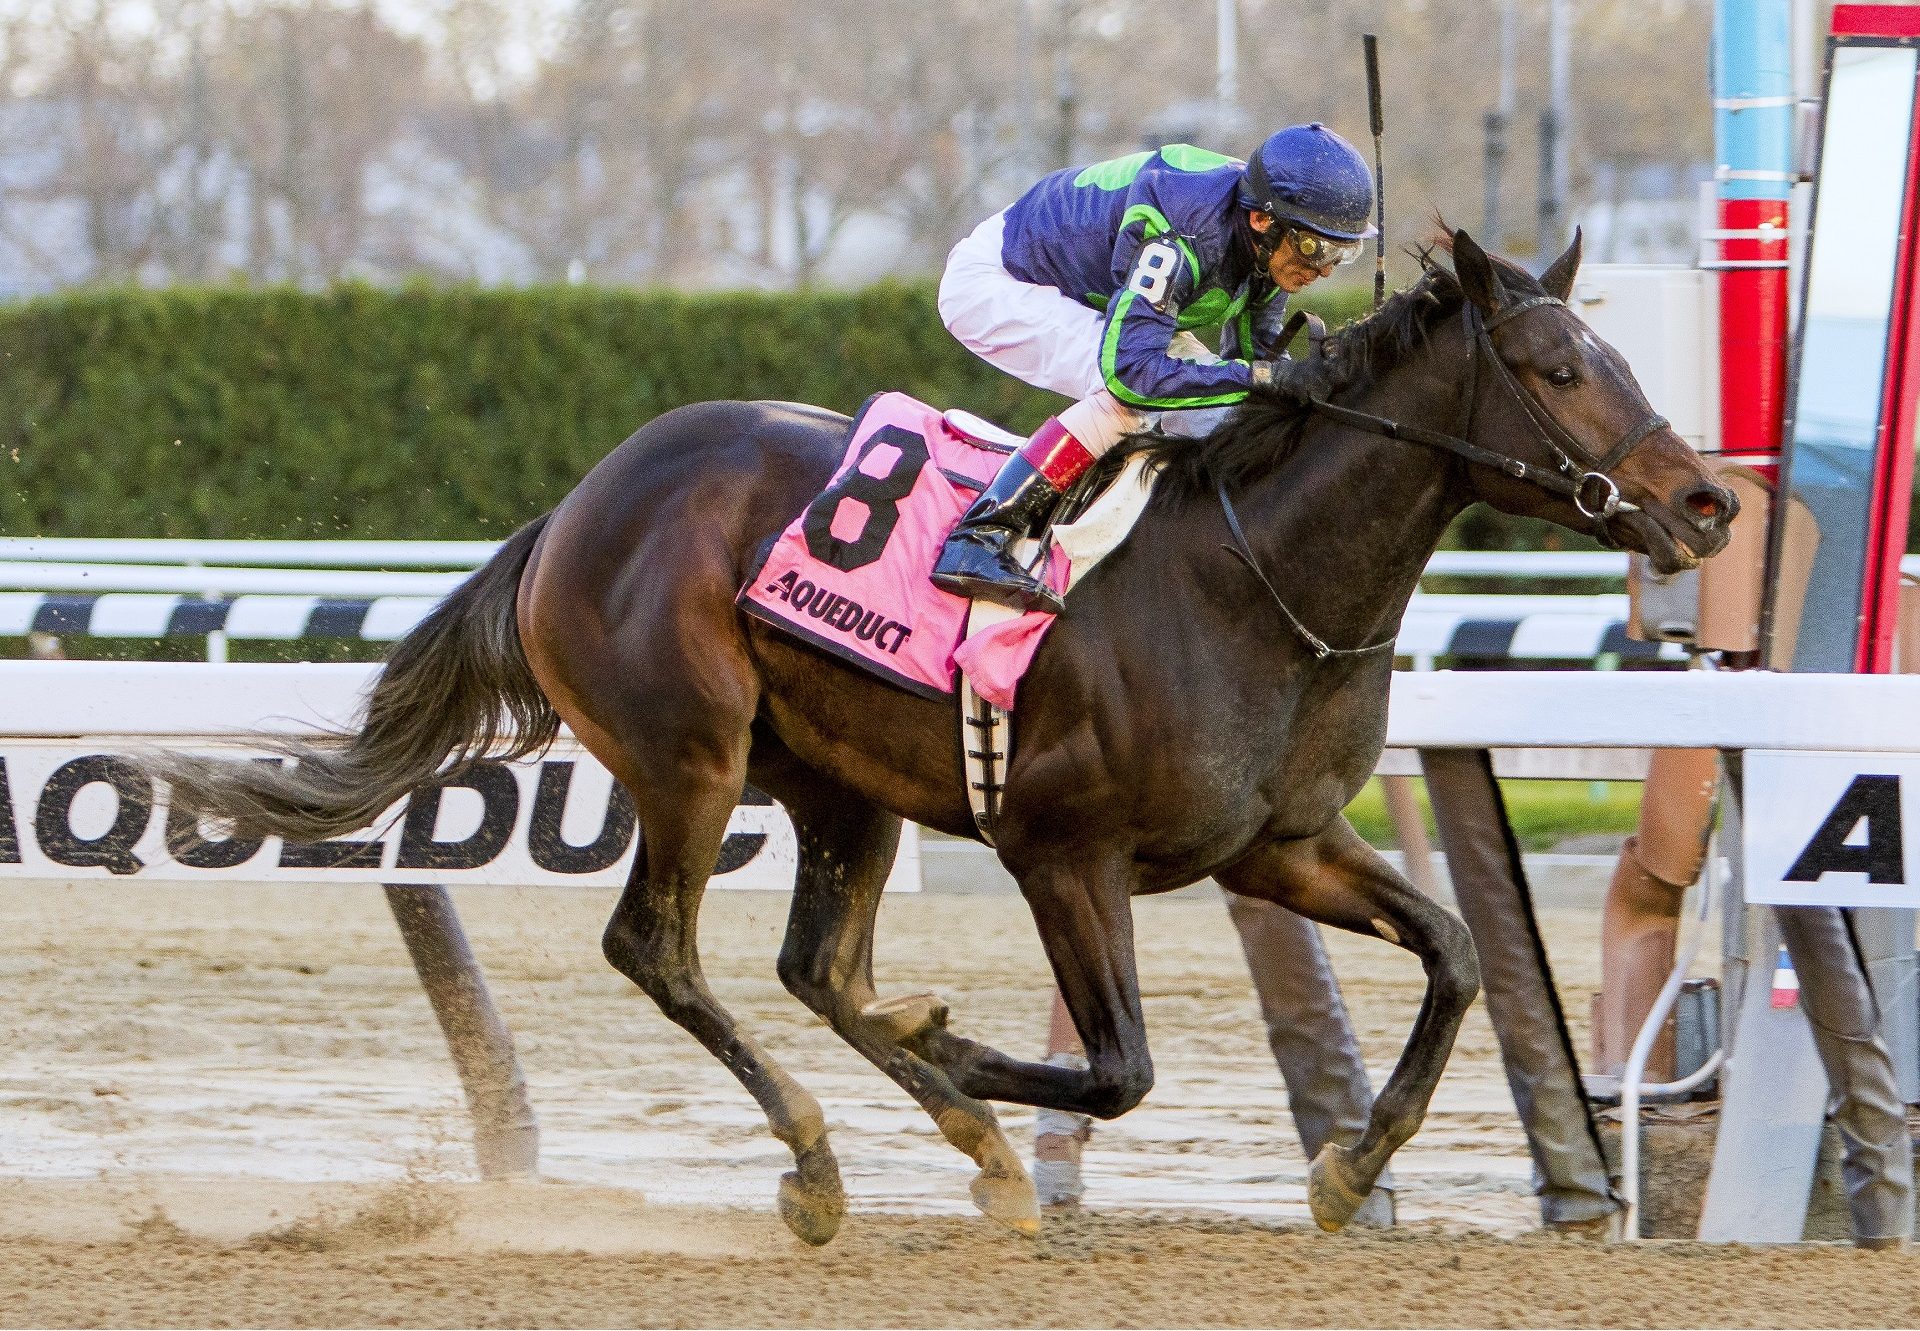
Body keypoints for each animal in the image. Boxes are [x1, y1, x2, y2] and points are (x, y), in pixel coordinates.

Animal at [153, 231, 1743, 1244]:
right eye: (1556, 365)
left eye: (1607, 348)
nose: (1709, 501)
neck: (1251, 578)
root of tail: (576, 503)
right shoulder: (1059, 847)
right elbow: (1118, 1066)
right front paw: (960, 1044)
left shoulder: (1276, 844)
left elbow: (1459, 954)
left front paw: (1351, 1169)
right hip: (692, 756)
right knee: (662, 948)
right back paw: (819, 1158)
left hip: (838, 784)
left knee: (815, 964)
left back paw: (955, 1140)